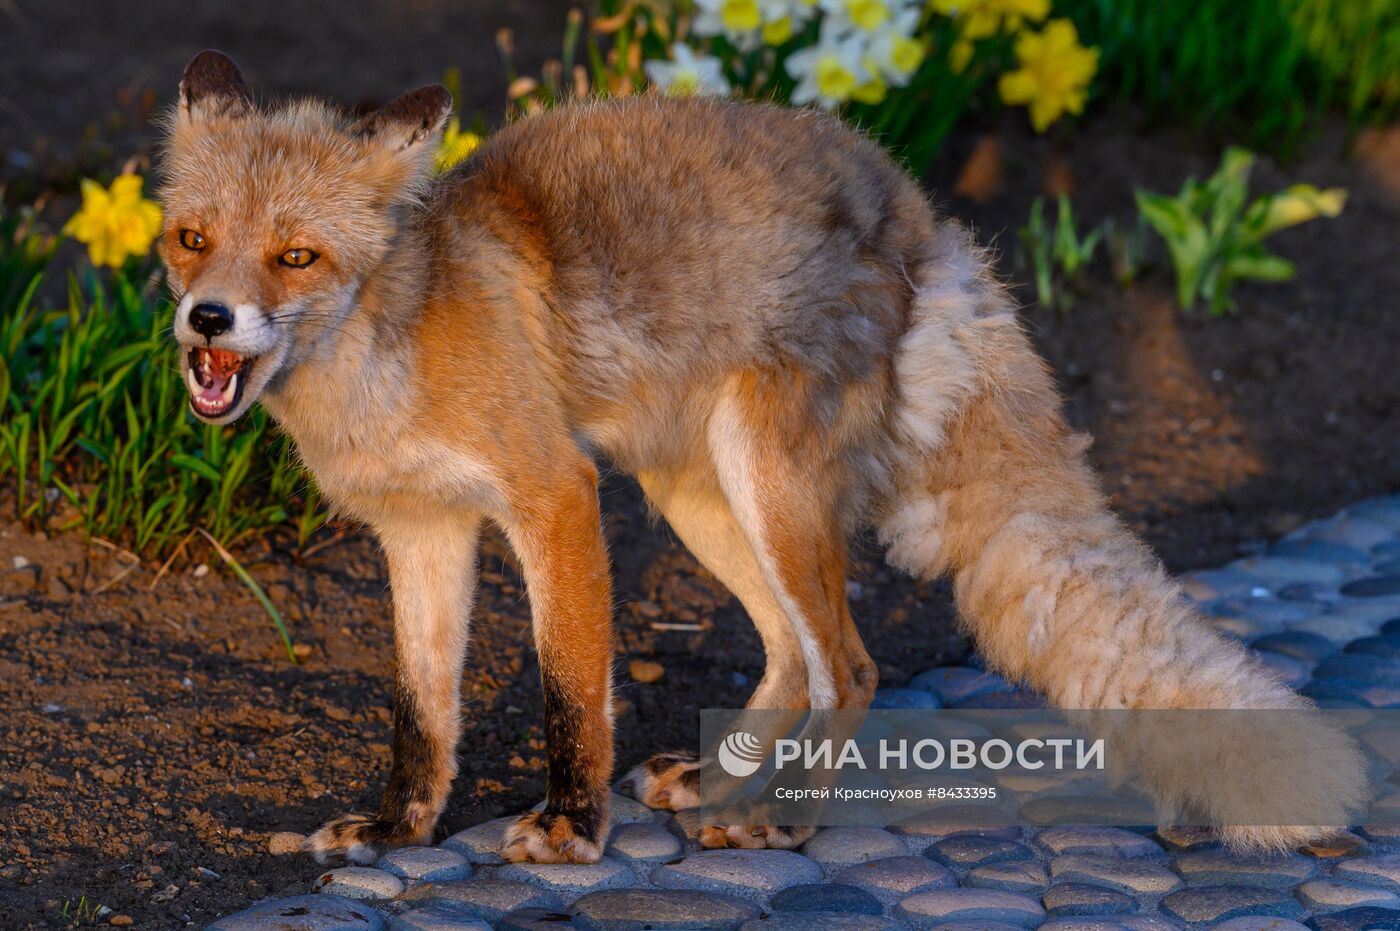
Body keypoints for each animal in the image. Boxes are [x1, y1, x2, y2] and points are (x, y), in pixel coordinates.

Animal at [156, 49, 1366, 862]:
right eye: (190, 240)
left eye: (296, 256)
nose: (208, 319)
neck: (391, 346)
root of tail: (915, 208)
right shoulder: (423, 530)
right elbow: (421, 714)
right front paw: (397, 827)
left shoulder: (554, 497)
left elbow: (570, 694)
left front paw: (572, 828)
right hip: (698, 496)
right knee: (791, 654)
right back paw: (722, 788)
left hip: (761, 483)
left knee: (851, 664)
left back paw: (785, 819)